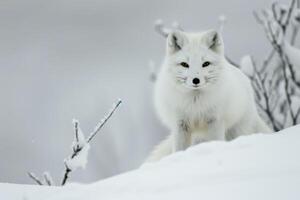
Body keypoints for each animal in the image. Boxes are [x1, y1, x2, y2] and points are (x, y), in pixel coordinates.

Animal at [146, 30, 274, 163]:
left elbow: (216, 141)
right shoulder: (180, 124)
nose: (195, 80)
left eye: (206, 64)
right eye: (184, 64)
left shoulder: (215, 122)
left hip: (235, 130)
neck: (195, 103)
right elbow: (179, 149)